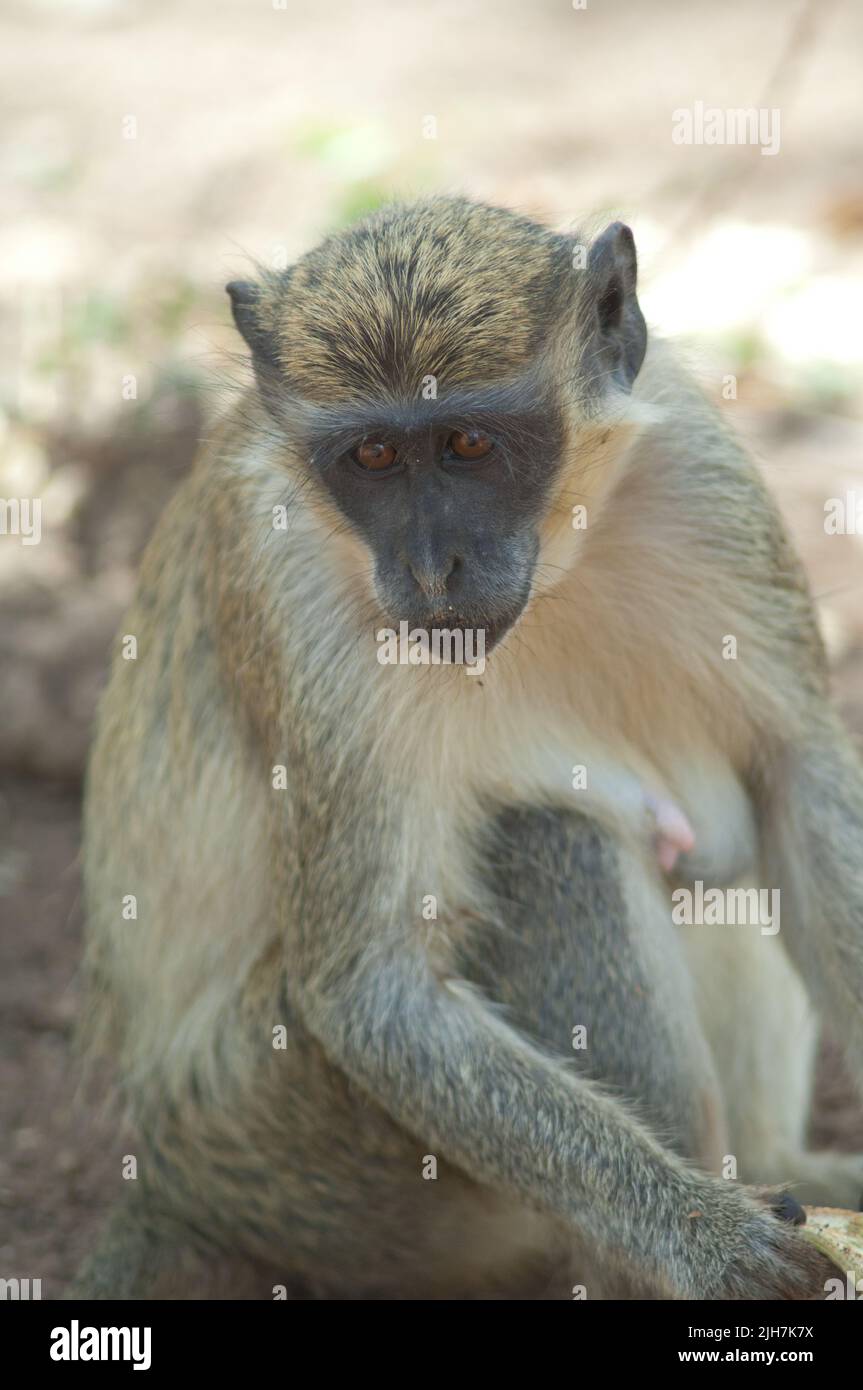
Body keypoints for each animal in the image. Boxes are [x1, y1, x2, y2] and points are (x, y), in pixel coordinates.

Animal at [70, 196, 863, 1301]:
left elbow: (797, 776)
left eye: (469, 444)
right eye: (371, 458)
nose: (430, 567)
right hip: (312, 1157)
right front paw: (705, 1239)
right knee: (551, 836)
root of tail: (177, 1176)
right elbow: (374, 992)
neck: (558, 560)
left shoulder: (705, 476)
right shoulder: (286, 584)